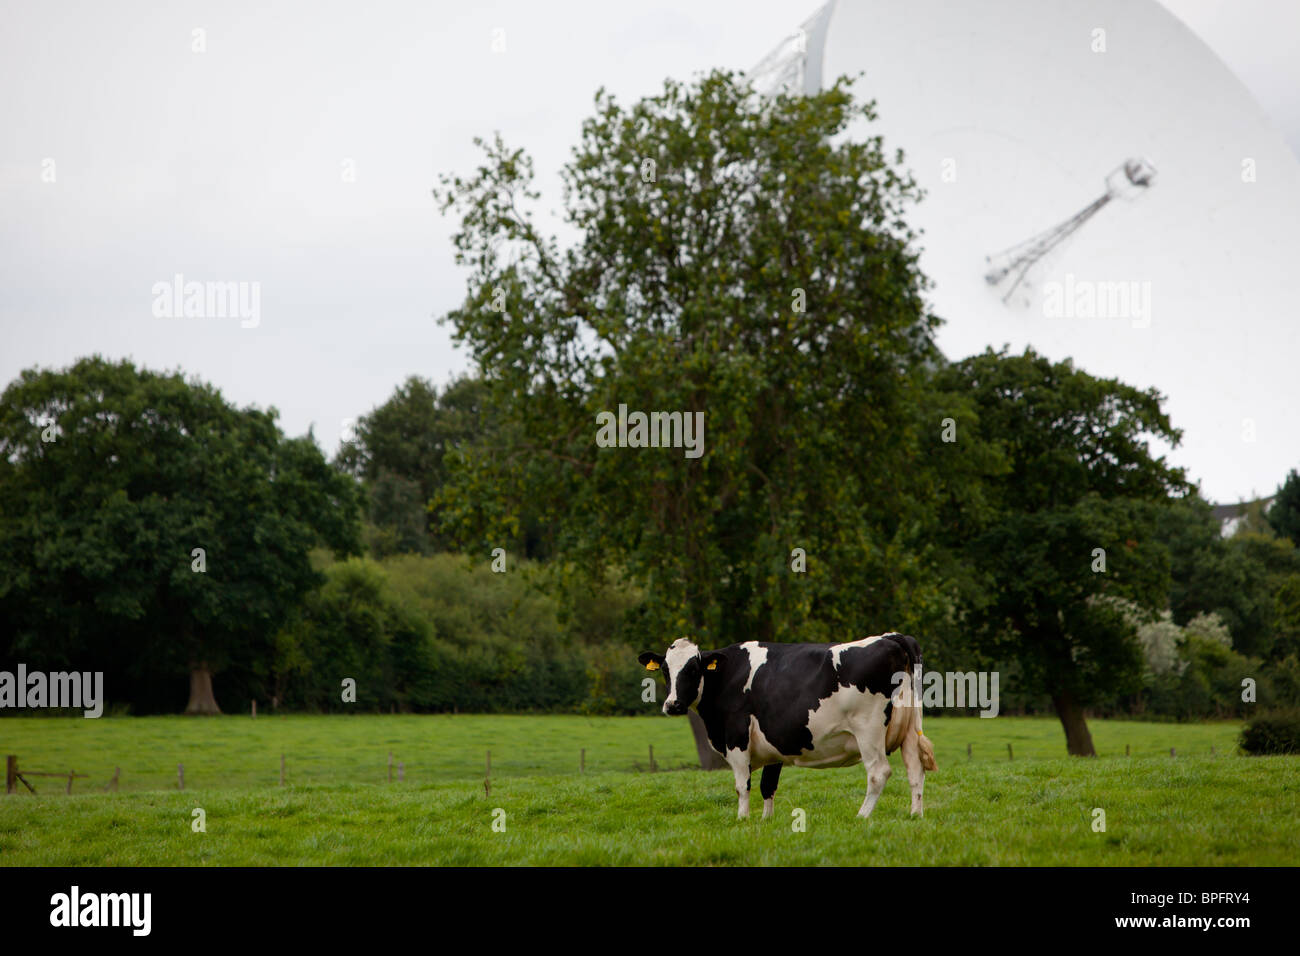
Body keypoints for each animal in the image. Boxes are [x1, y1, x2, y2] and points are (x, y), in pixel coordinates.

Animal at [637, 632, 935, 816]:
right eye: (665, 670)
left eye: (693, 669)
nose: (673, 705)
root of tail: (892, 637)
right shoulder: (773, 744)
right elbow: (767, 786)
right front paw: (765, 822)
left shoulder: (736, 737)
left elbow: (742, 785)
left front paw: (742, 820)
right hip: (909, 730)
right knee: (915, 770)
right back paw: (915, 815)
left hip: (868, 730)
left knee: (878, 773)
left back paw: (861, 816)